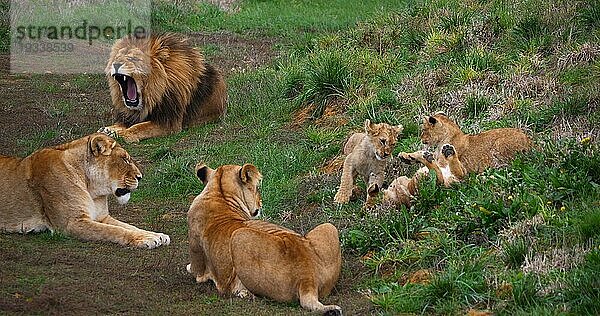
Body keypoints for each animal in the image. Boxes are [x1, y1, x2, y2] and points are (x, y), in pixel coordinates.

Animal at [0, 132, 170, 248]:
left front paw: (157, 235)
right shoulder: (72, 223)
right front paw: (146, 239)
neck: (92, 189)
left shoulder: (102, 217)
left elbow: (128, 226)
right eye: (124, 159)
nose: (140, 177)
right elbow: (115, 231)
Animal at [188, 163, 342, 314]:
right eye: (257, 189)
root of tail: (307, 278)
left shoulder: (199, 270)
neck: (220, 194)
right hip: (329, 227)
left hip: (239, 236)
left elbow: (194, 270)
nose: (261, 203)